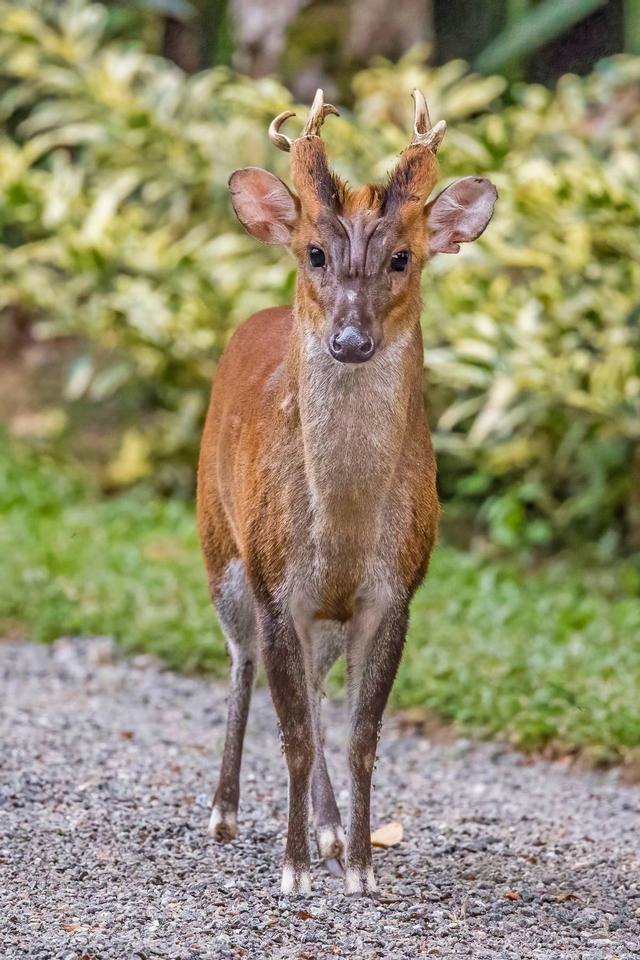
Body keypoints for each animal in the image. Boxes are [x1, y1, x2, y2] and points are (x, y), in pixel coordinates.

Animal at [198, 86, 498, 896]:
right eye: (314, 251)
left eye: (402, 256)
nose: (351, 340)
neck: (344, 530)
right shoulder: (276, 584)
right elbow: (295, 737)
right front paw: (295, 870)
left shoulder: (394, 590)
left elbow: (363, 735)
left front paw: (360, 865)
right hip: (221, 548)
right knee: (242, 662)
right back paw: (225, 813)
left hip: (320, 617)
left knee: (317, 687)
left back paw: (330, 829)